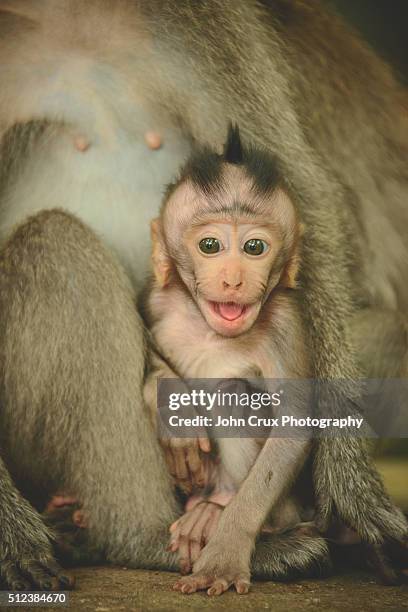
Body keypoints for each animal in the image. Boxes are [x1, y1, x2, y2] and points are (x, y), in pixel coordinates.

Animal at [142, 124, 320, 592]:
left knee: (231, 394)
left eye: (255, 247)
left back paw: (216, 512)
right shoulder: (155, 297)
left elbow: (295, 424)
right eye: (210, 245)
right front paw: (173, 414)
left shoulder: (286, 323)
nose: (234, 279)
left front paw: (226, 549)